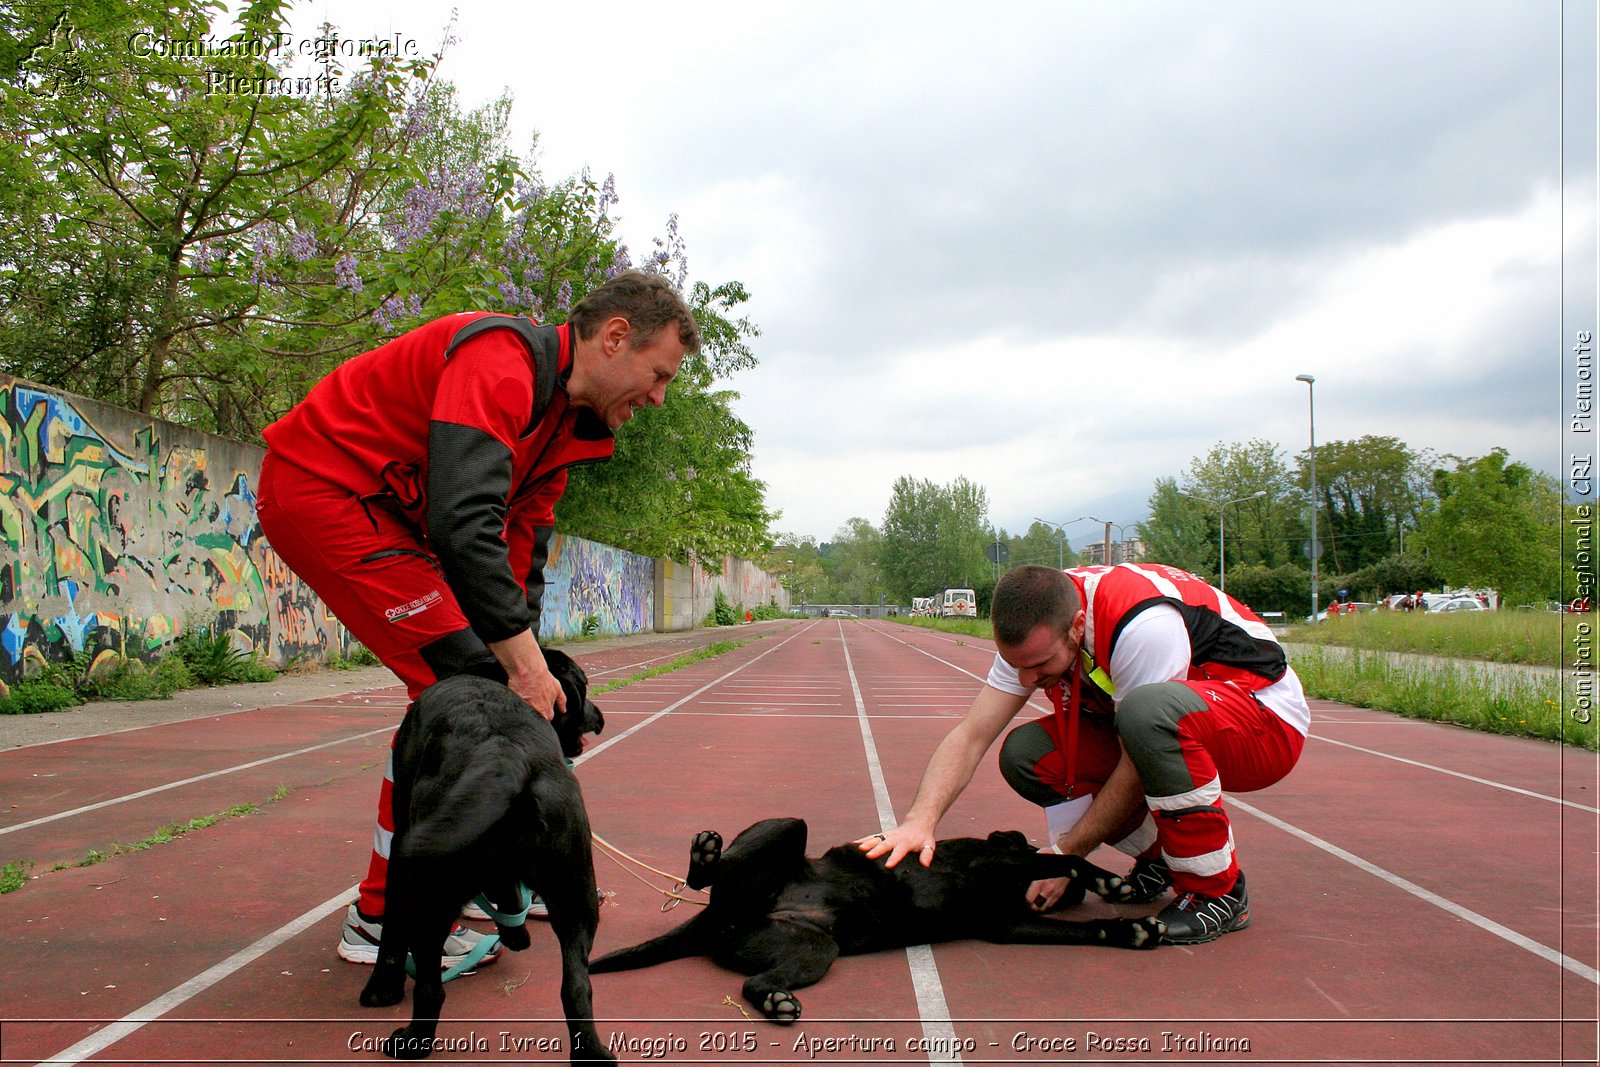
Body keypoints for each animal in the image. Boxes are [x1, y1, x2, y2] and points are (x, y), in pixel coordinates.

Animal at [360, 646, 614, 1062]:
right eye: (585, 686)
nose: (600, 718)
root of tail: (505, 756)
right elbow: (509, 896)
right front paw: (516, 934)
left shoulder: (398, 849)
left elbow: (392, 935)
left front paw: (382, 988)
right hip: (576, 894)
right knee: (577, 988)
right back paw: (593, 1055)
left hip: (428, 890)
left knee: (430, 988)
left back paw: (413, 1041)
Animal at [588, 819, 1164, 1023]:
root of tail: (716, 918)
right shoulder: (989, 863)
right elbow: (1060, 859)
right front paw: (1109, 883)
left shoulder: (1006, 925)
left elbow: (1080, 925)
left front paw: (1128, 930)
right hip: (785, 830)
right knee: (710, 873)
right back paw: (704, 854)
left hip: (811, 949)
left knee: (754, 984)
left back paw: (777, 1002)